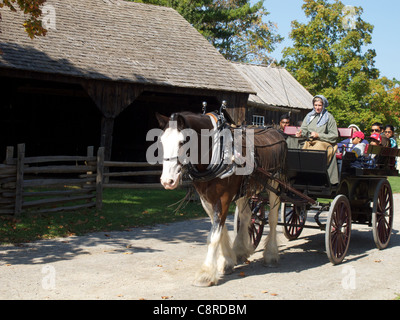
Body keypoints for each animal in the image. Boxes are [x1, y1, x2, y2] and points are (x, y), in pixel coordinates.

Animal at [156, 111, 288, 286]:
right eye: (162, 141)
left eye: (183, 141)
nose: (167, 181)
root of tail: (275, 131)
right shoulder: (206, 200)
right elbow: (221, 230)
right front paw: (227, 261)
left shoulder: (223, 199)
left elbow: (214, 236)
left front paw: (205, 274)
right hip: (244, 189)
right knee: (246, 217)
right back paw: (240, 250)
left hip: (274, 184)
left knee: (272, 219)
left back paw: (271, 255)